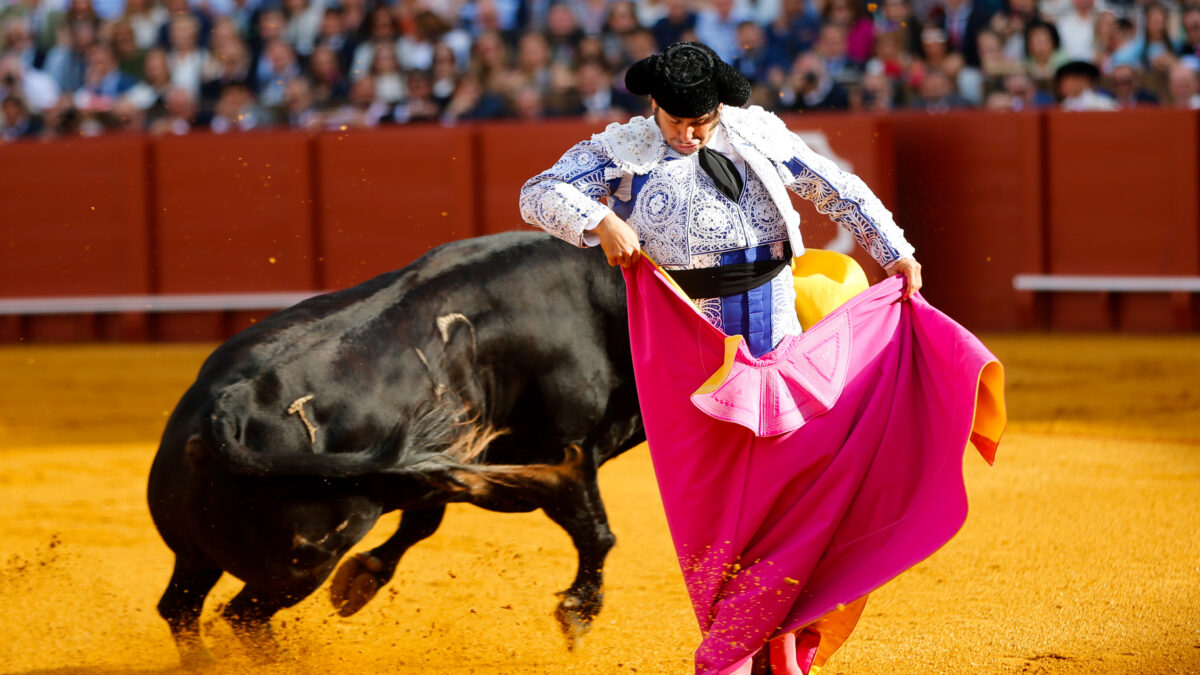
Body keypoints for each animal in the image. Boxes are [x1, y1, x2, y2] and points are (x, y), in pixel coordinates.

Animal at [148, 230, 648, 662]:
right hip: (300, 564)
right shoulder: (565, 449)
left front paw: (361, 579)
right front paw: (578, 613)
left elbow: (423, 519)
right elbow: (596, 533)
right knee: (242, 615)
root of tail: (228, 404)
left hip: (196, 556)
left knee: (180, 608)